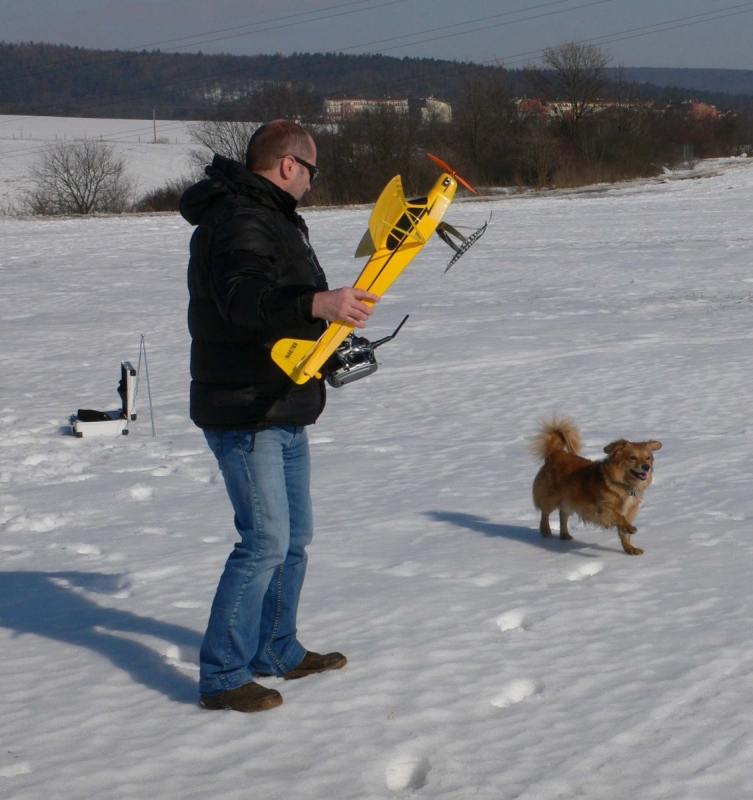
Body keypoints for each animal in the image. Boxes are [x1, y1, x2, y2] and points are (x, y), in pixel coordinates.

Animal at [532, 418, 660, 556]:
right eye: (632, 458)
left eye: (648, 458)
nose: (646, 467)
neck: (624, 485)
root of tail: (556, 452)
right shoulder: (605, 510)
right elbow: (619, 518)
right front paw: (629, 528)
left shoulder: (630, 512)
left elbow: (625, 535)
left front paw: (630, 548)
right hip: (551, 498)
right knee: (545, 513)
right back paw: (546, 531)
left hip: (570, 500)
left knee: (563, 514)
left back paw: (564, 534)